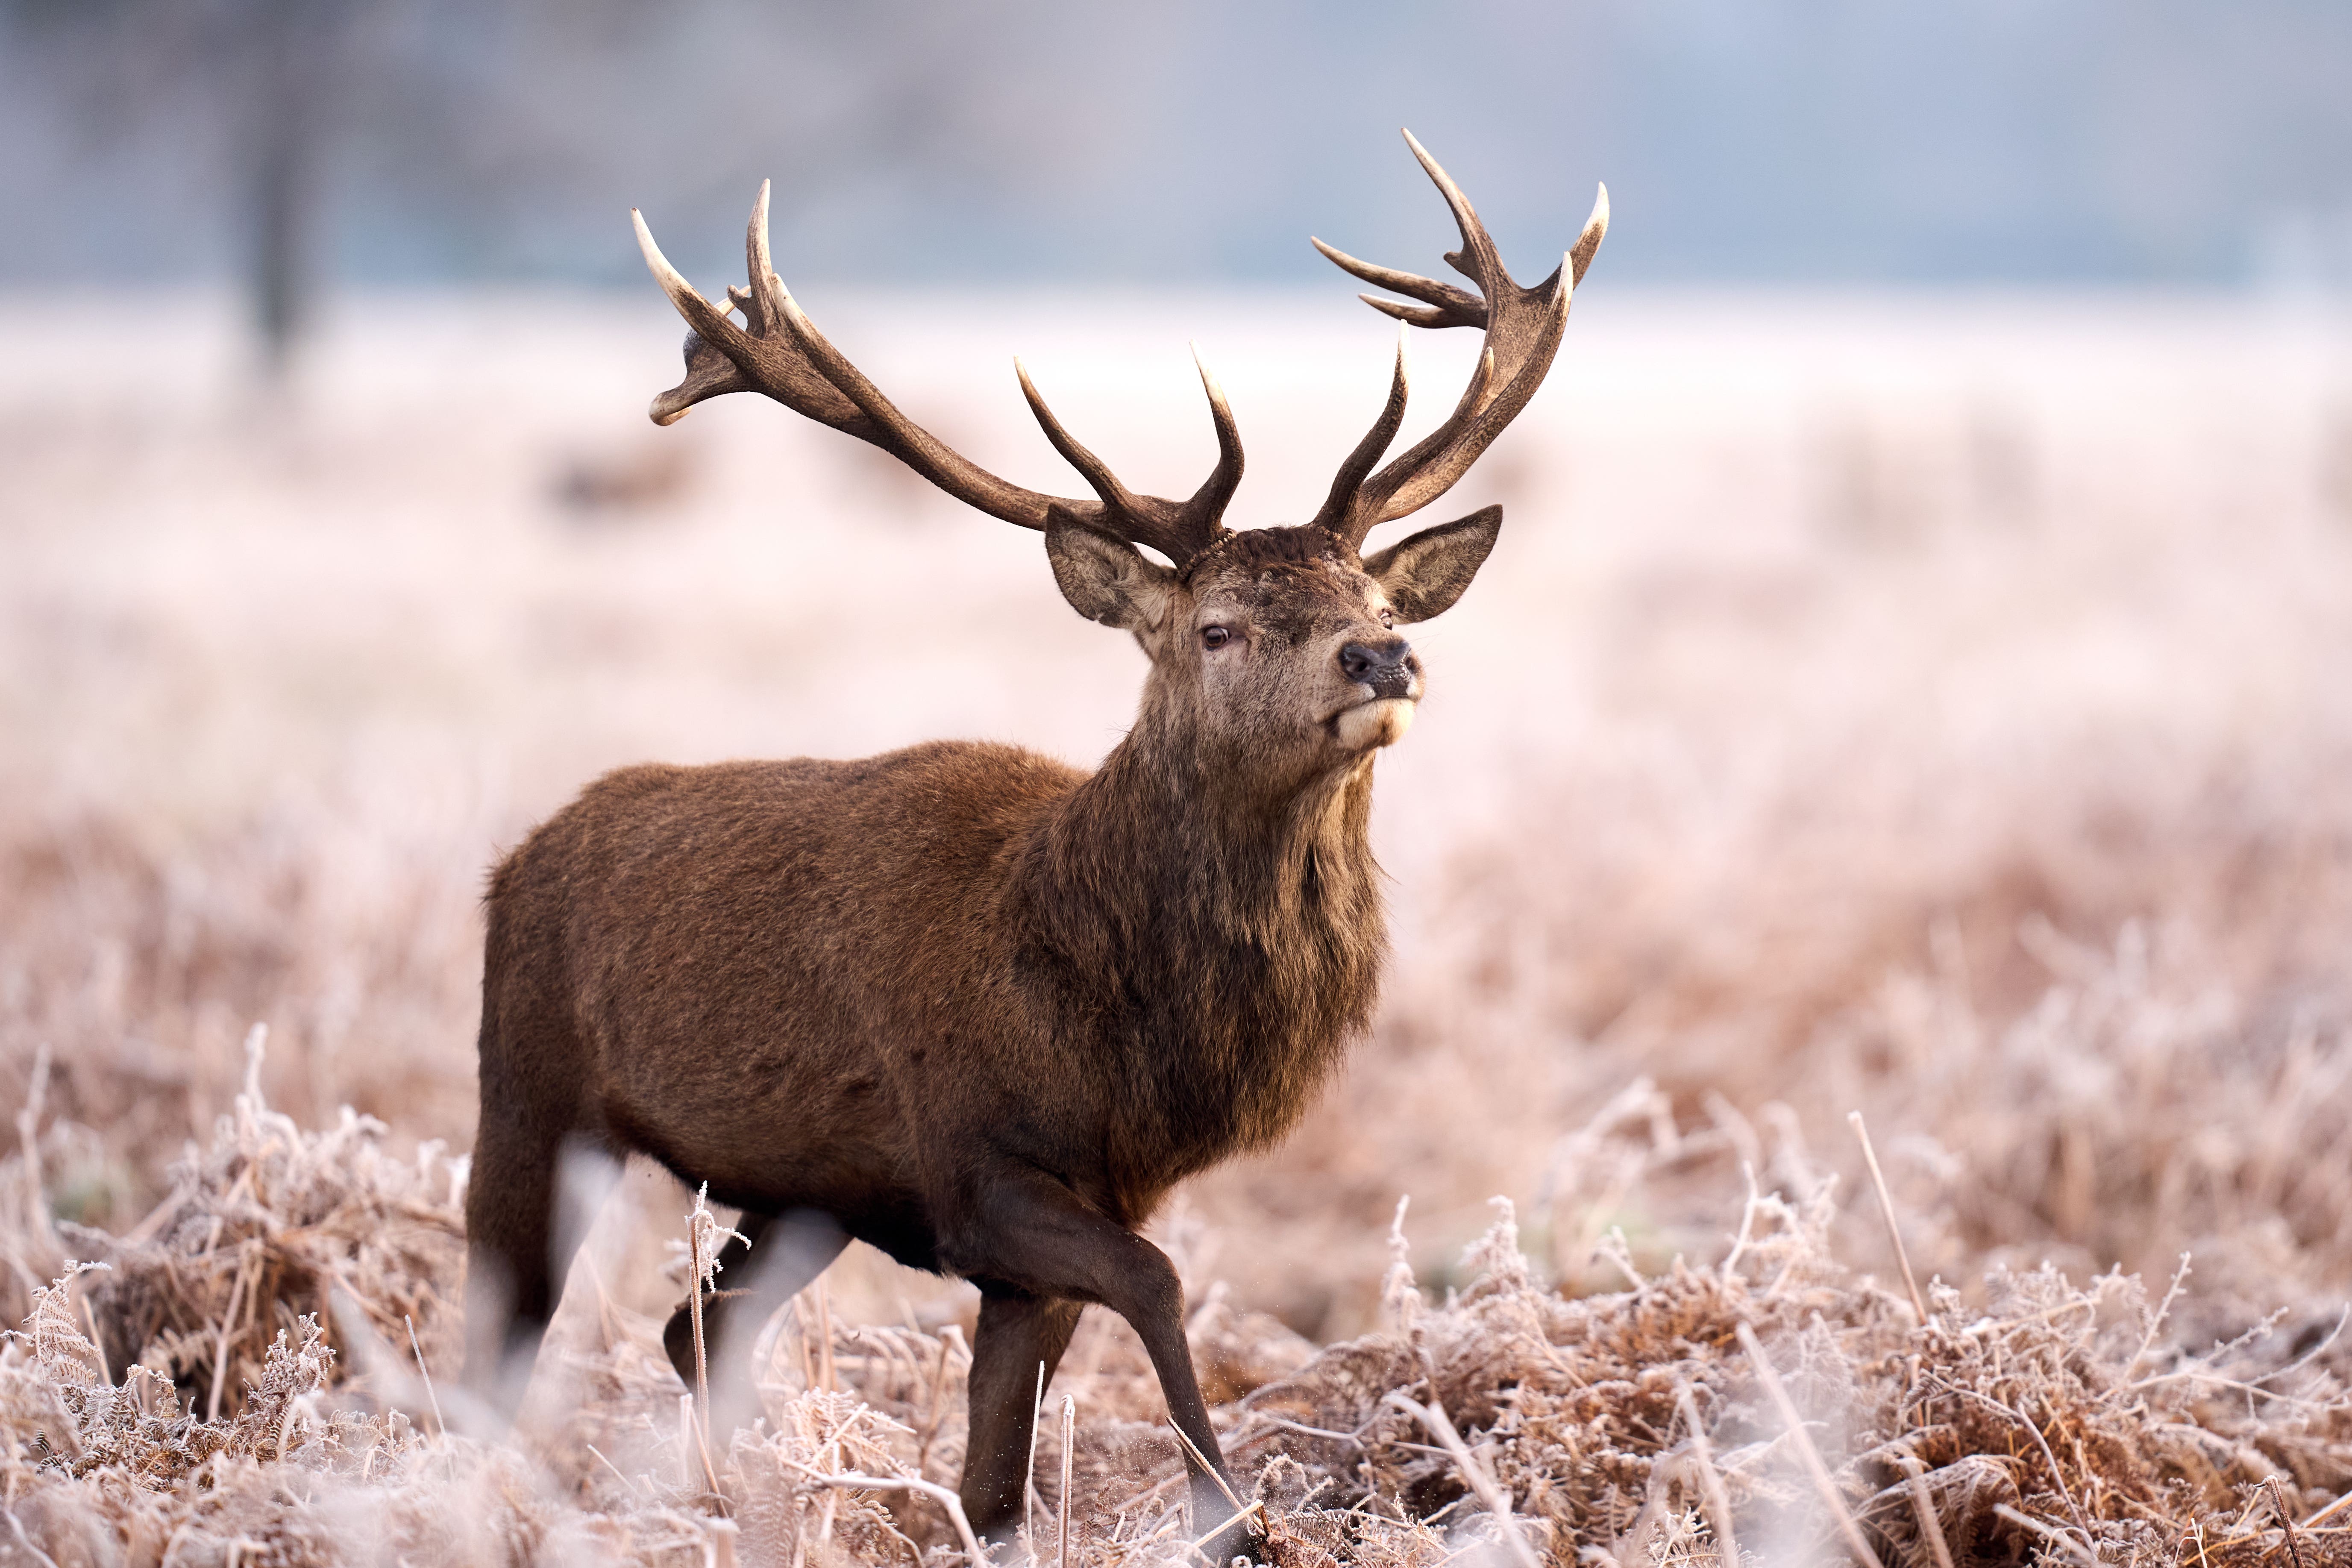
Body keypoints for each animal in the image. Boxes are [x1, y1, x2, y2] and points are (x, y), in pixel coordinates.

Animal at [461, 130, 1604, 1557]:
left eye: (1379, 599)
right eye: (1218, 625)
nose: (1382, 658)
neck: (1118, 1020)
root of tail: (517, 862)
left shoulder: (1073, 1206)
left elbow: (993, 1483)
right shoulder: (978, 1173)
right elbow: (1160, 1287)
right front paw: (1230, 1515)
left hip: (805, 1188)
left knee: (694, 1325)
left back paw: (739, 1495)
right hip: (526, 1086)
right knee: (499, 1344)